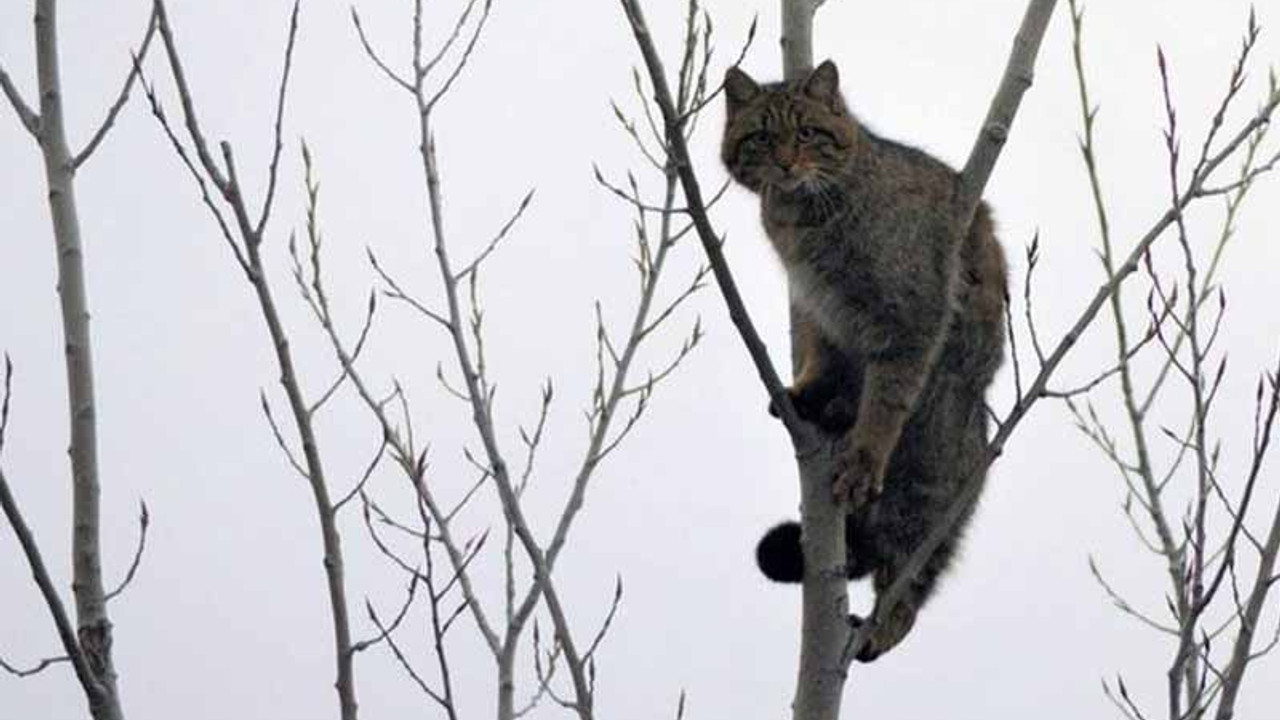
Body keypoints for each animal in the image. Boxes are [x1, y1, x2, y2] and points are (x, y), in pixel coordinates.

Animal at [721, 60, 1008, 655]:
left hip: (923, 484)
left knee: (911, 573)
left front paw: (863, 457)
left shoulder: (911, 319)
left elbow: (885, 404)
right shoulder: (819, 308)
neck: (801, 221)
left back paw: (886, 624)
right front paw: (810, 392)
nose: (786, 162)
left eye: (807, 133)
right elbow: (822, 356)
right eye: (761, 137)